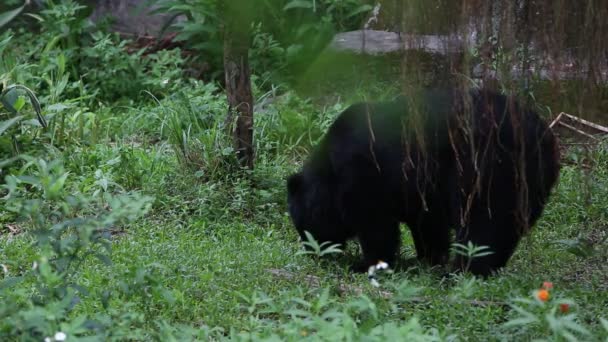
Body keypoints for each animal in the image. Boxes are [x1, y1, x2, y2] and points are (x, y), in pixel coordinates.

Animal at [286, 87, 560, 276]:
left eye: (303, 227)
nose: (312, 253)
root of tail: (544, 138)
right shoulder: (420, 191)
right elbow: (428, 223)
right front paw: (427, 258)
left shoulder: (365, 175)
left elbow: (376, 225)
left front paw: (365, 264)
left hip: (491, 168)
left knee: (485, 223)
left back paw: (463, 271)